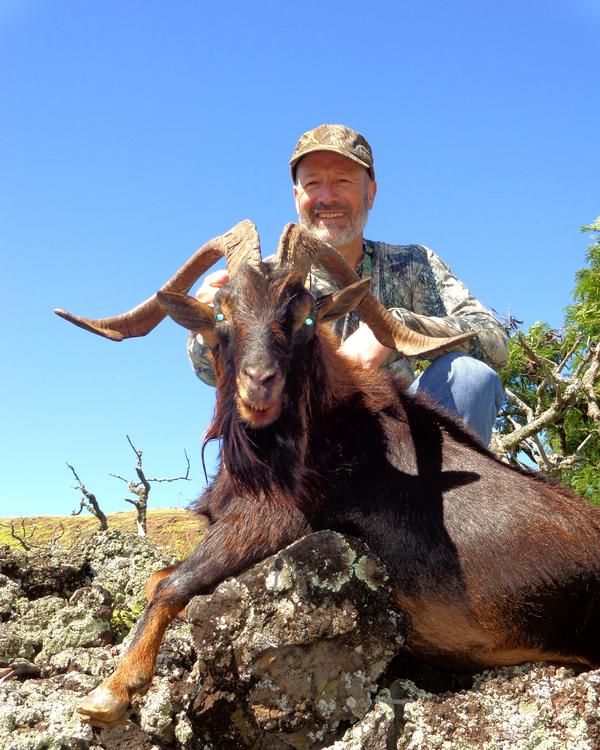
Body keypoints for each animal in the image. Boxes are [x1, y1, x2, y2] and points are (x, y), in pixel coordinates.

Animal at [55, 220, 600, 729]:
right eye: (222, 311)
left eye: (303, 315)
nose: (259, 385)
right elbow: (158, 579)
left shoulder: (277, 521)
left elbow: (172, 585)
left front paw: (112, 691)